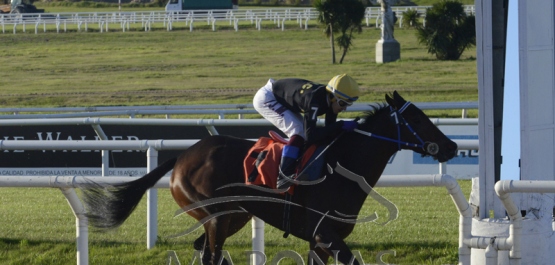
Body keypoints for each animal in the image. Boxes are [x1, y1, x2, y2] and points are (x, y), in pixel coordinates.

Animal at [81, 90, 456, 262]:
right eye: (418, 119)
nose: (451, 146)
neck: (341, 169)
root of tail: (183, 155)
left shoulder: (320, 241)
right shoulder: (326, 234)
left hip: (234, 216)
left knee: (204, 249)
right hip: (216, 215)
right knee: (210, 254)